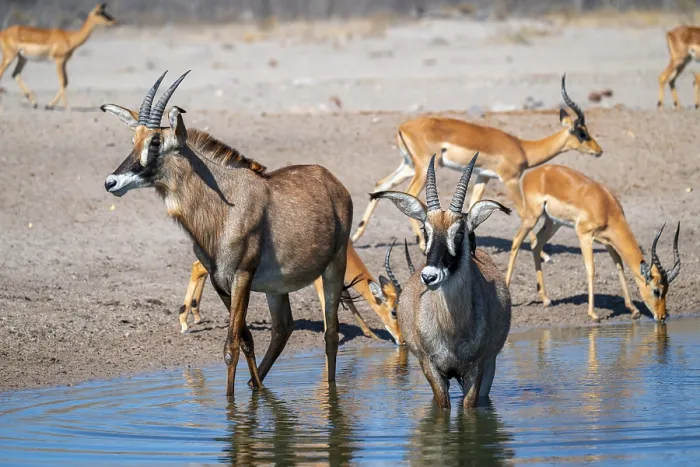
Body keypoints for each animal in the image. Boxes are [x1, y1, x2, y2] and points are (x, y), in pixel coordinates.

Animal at [102, 71, 353, 397]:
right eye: (135, 140)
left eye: (155, 141)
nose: (111, 182)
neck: (223, 204)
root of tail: (333, 183)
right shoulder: (220, 281)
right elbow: (246, 340)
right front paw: (254, 397)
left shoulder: (241, 276)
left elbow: (230, 347)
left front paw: (233, 404)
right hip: (277, 287)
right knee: (282, 328)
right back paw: (256, 384)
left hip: (335, 266)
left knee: (330, 334)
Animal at [178, 240, 405, 345]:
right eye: (394, 312)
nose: (402, 340)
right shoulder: (320, 278)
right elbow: (327, 302)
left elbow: (347, 300)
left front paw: (370, 334)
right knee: (198, 268)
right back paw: (184, 322)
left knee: (199, 268)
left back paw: (194, 316)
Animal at [352, 75, 602, 257]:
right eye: (582, 132)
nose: (599, 151)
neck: (522, 147)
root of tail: (402, 127)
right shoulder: (510, 179)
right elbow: (524, 212)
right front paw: (543, 255)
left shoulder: (483, 177)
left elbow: (473, 205)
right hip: (423, 168)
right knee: (408, 193)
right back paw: (421, 243)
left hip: (409, 166)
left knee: (381, 184)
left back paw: (356, 237)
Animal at [372, 153, 512, 410]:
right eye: (425, 230)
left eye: (459, 233)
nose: (429, 276)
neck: (452, 328)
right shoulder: (432, 369)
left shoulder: (476, 369)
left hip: (490, 365)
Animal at [504, 165, 681, 323]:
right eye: (656, 290)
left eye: (667, 290)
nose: (662, 317)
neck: (606, 206)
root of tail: (533, 174)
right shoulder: (584, 235)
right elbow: (591, 270)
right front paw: (593, 314)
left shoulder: (609, 243)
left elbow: (619, 267)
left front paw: (633, 310)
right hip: (532, 217)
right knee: (516, 241)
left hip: (553, 223)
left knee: (536, 244)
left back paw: (546, 299)